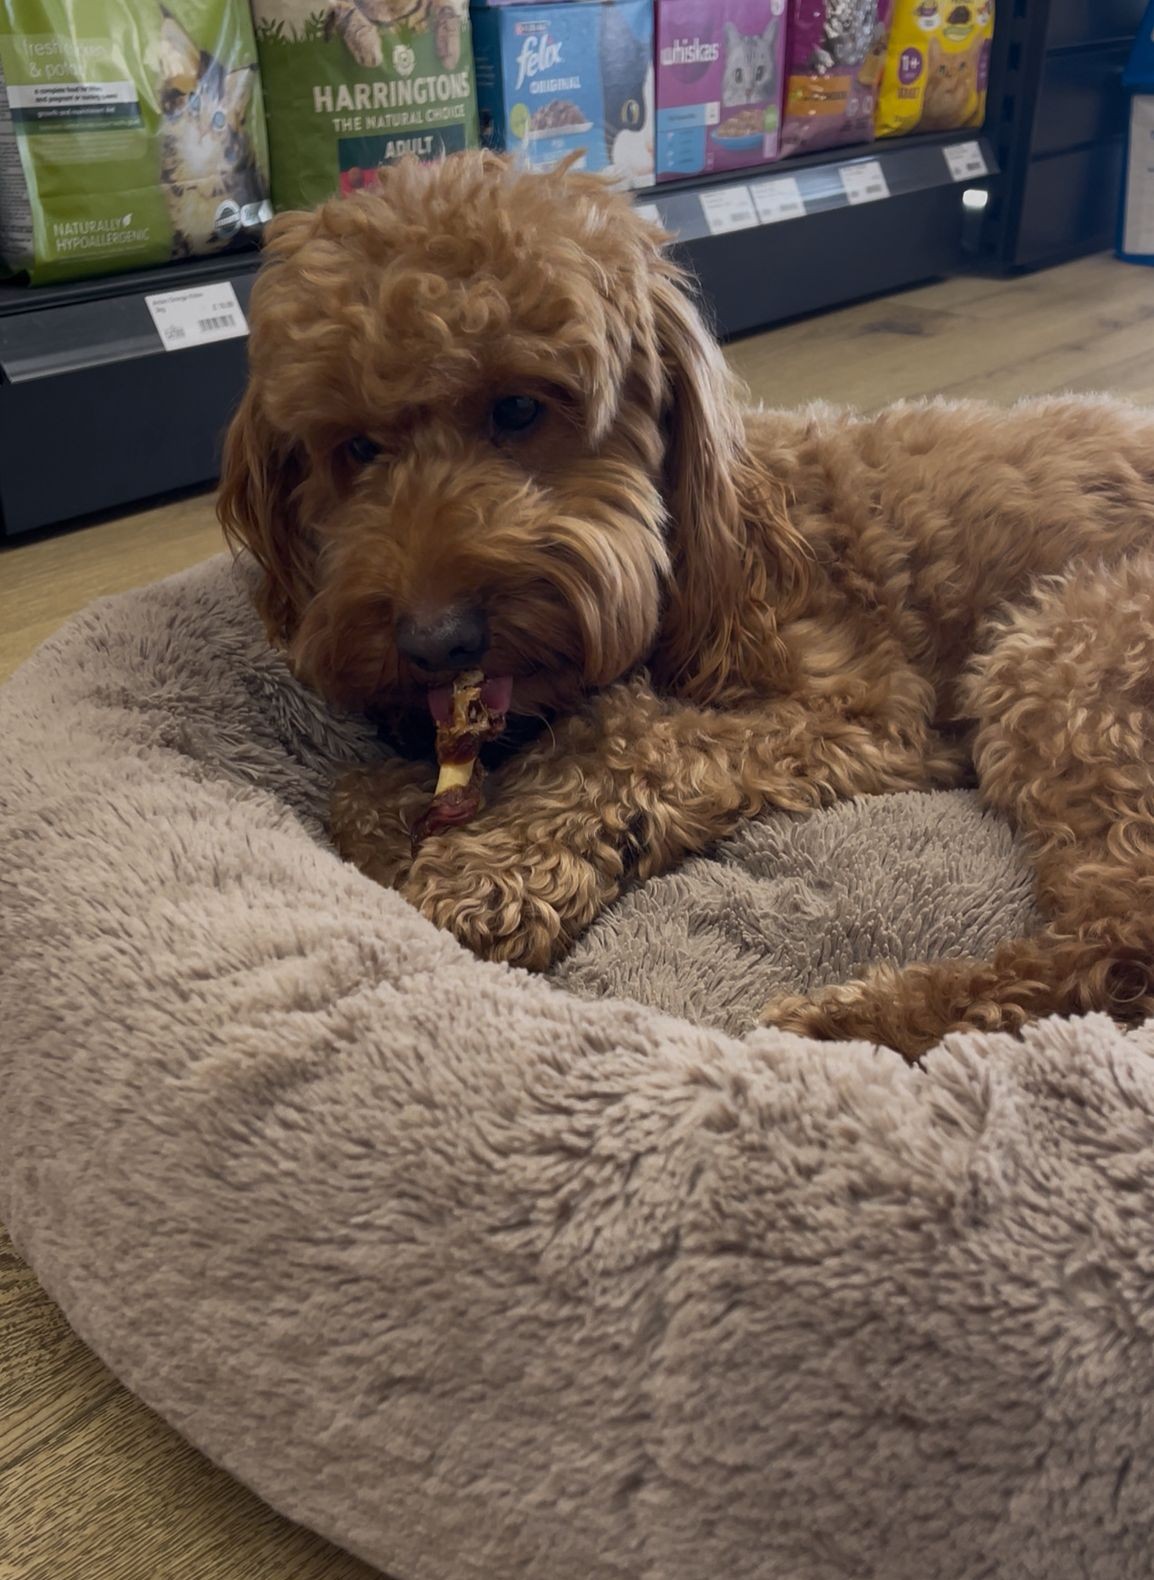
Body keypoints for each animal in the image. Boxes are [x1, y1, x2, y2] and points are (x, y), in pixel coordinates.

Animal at [219, 150, 1154, 1059]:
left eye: (517, 407)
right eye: (355, 448)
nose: (436, 641)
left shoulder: (859, 709)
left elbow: (630, 736)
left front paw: (494, 867)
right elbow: (362, 790)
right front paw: (402, 816)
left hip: (1065, 650)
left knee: (1119, 944)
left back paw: (862, 1027)